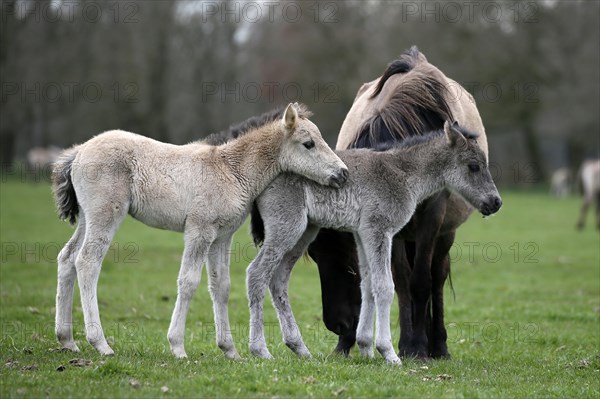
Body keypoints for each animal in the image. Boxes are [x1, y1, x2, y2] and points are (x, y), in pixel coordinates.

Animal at [54, 104, 352, 360]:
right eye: (308, 143)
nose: (343, 173)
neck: (231, 170)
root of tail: (79, 151)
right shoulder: (199, 231)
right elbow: (188, 282)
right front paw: (177, 346)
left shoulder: (222, 236)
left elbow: (221, 286)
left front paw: (230, 350)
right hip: (105, 215)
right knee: (87, 261)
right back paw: (100, 343)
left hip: (87, 218)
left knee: (67, 257)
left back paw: (67, 339)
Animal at [248, 122, 502, 366]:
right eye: (474, 166)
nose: (496, 202)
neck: (402, 173)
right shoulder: (378, 230)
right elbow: (385, 286)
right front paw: (388, 352)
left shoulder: (362, 234)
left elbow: (368, 284)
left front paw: (366, 348)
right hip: (288, 227)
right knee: (257, 273)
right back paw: (260, 350)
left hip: (304, 232)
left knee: (278, 279)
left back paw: (299, 348)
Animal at [304, 46, 488, 360]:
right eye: (315, 256)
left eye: (348, 262)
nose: (336, 326)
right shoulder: (392, 230)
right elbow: (402, 281)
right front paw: (407, 344)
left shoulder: (428, 220)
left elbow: (421, 282)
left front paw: (418, 347)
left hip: (445, 234)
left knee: (436, 277)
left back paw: (437, 344)